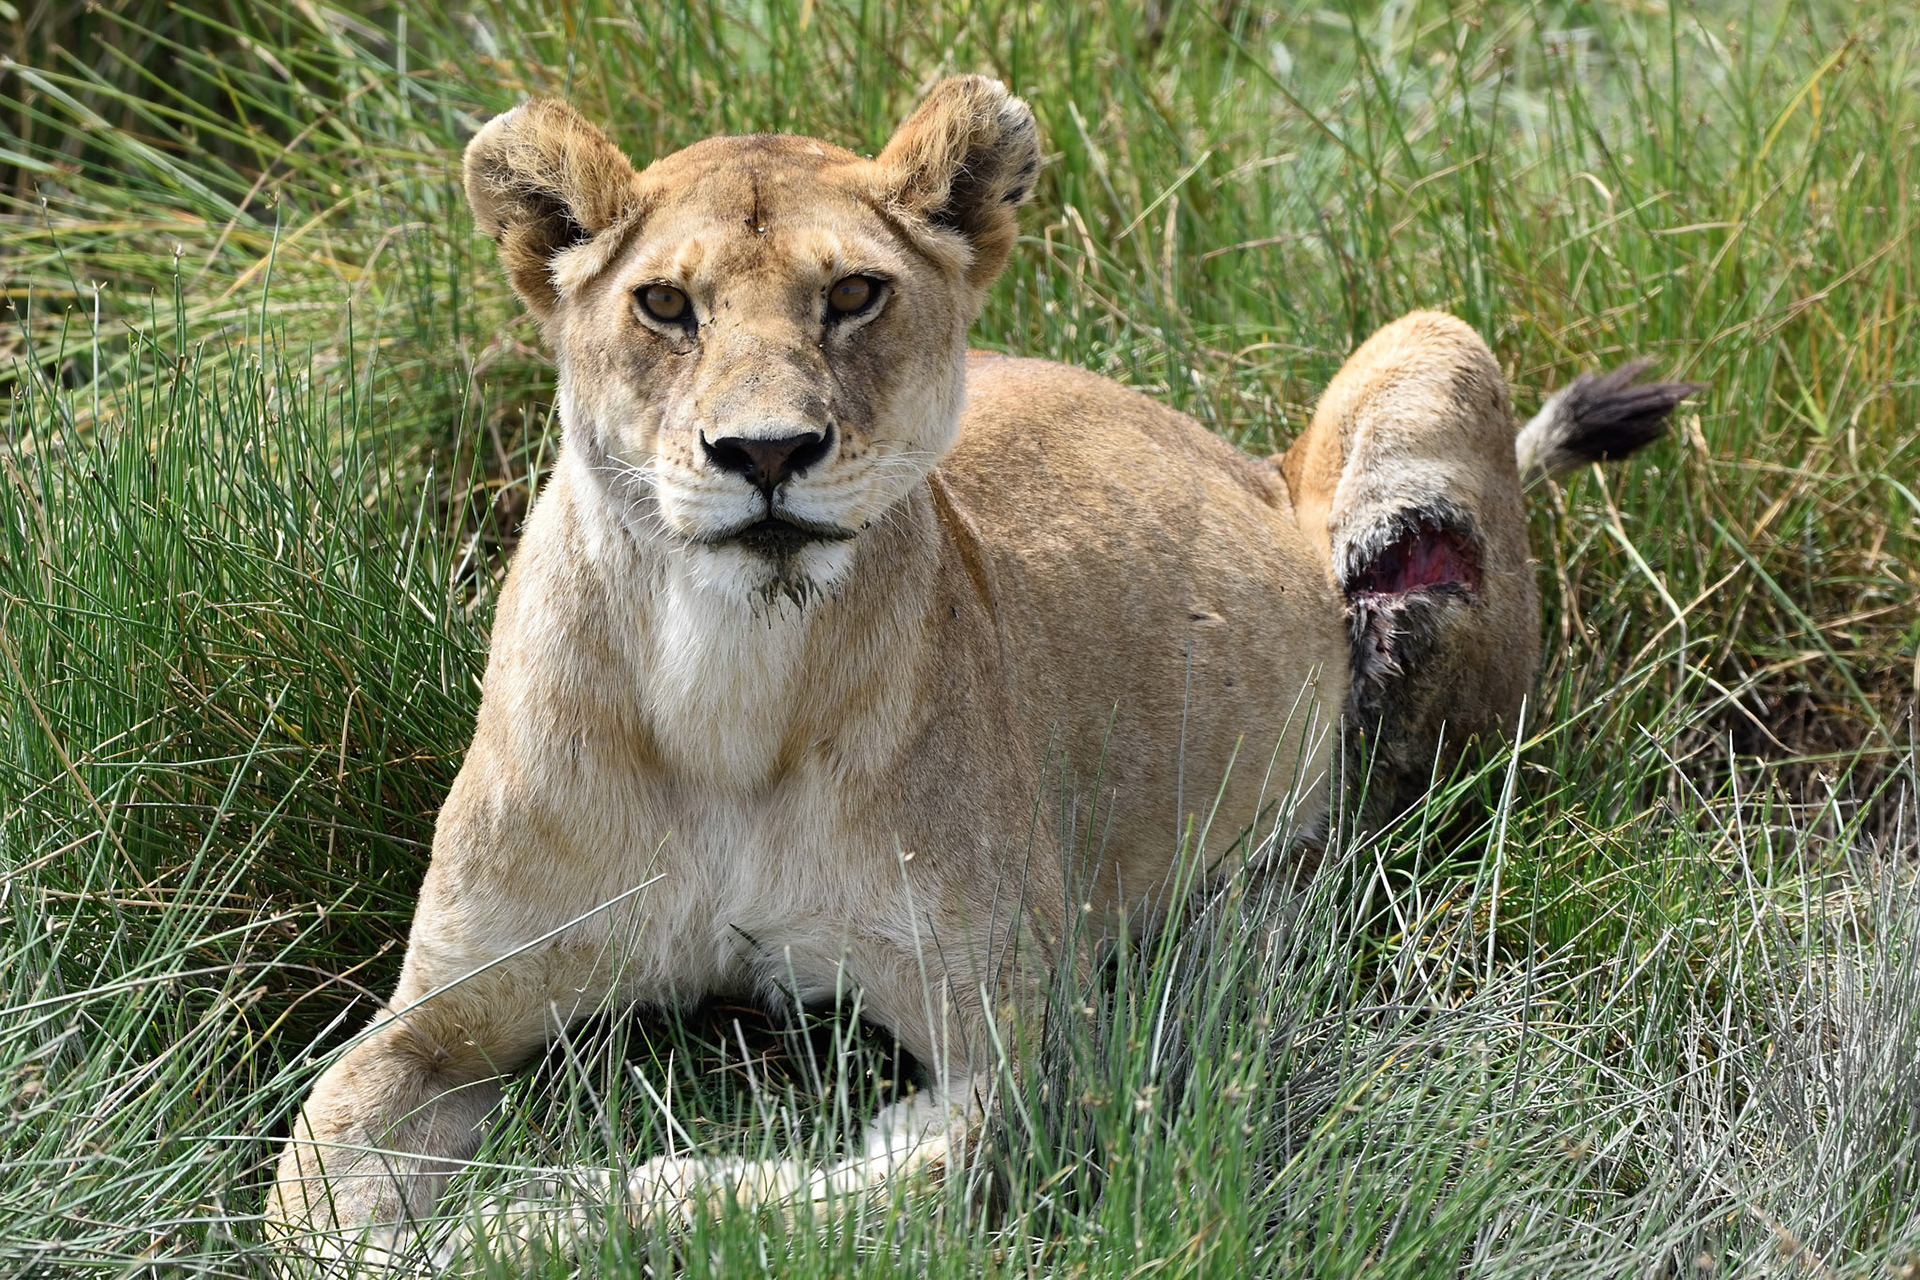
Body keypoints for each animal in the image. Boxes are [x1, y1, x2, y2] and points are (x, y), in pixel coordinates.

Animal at [267, 76, 1698, 1264]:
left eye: (854, 294)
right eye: (666, 305)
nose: (766, 452)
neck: (731, 684)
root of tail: (1249, 461)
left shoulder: (1028, 1059)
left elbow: (813, 1192)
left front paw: (538, 1216)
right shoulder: (437, 1015)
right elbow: (308, 1197)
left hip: (1429, 356)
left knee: (1380, 833)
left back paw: (1243, 930)